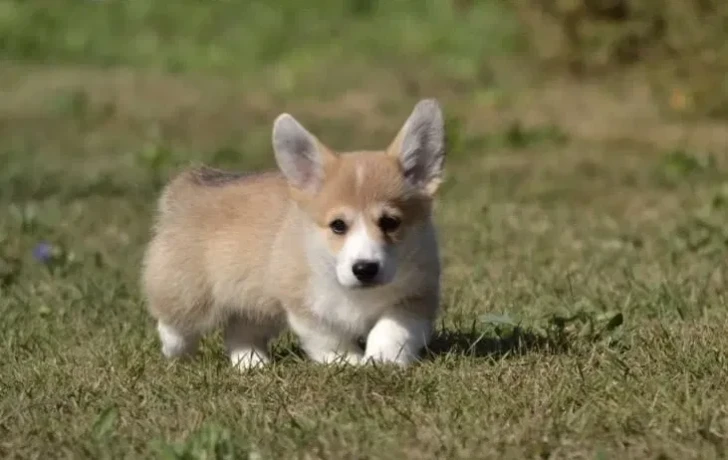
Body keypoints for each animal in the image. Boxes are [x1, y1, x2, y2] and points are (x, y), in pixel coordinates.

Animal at [138, 99, 444, 368]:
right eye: (338, 225)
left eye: (391, 222)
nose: (365, 269)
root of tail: (188, 186)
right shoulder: (304, 305)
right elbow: (328, 338)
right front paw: (349, 361)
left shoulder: (415, 297)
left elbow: (392, 329)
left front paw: (383, 359)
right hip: (188, 291)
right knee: (174, 322)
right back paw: (176, 351)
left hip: (255, 301)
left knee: (240, 330)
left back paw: (251, 363)